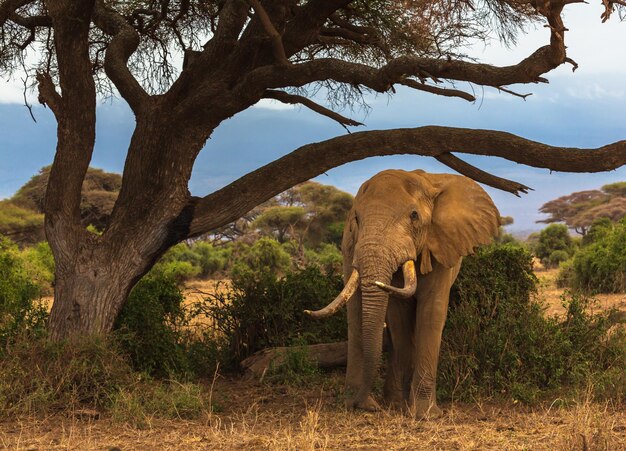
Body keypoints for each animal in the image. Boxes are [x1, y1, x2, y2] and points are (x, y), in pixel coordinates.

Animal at [304, 170, 498, 420]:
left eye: (414, 216)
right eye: (356, 219)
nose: (365, 406)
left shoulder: (441, 244)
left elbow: (432, 311)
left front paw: (425, 414)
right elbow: (398, 314)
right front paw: (401, 406)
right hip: (348, 251)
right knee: (356, 313)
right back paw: (370, 401)